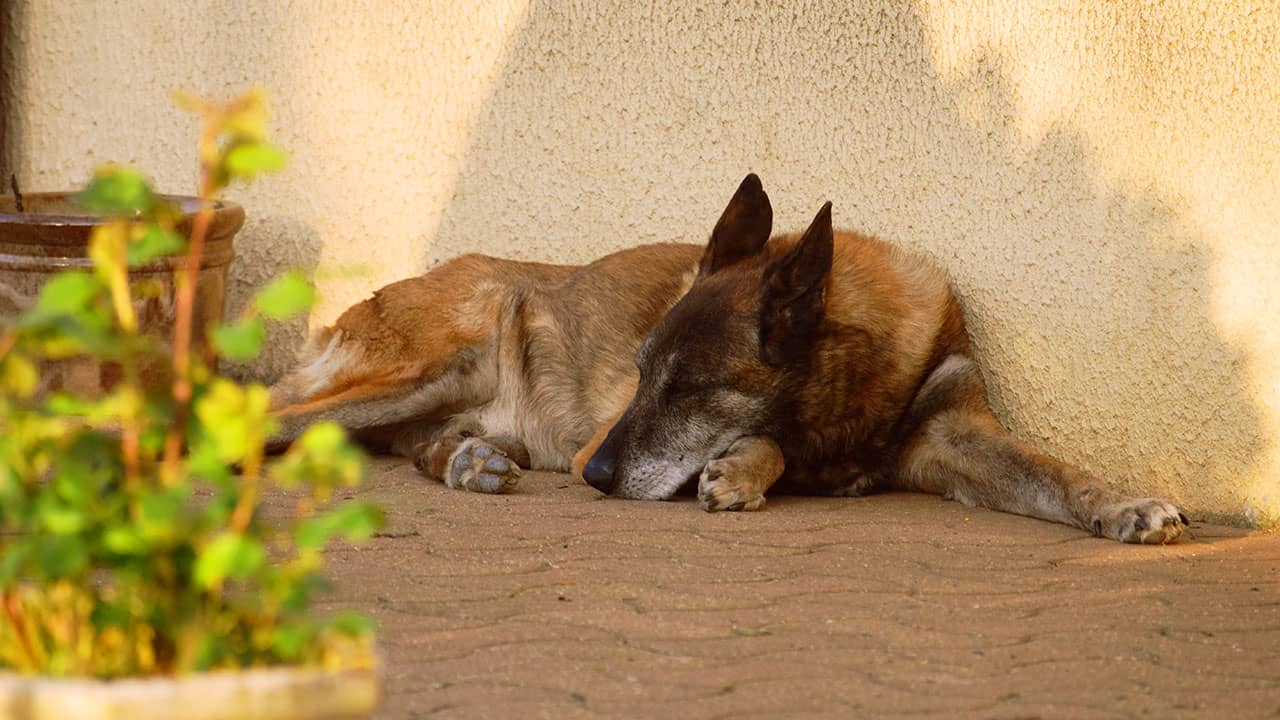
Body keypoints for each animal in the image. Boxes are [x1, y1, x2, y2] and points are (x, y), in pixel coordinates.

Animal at [270, 175, 1187, 543]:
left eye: (688, 388)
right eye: (644, 376)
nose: (589, 476)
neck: (856, 386)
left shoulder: (957, 435)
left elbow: (1057, 474)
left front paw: (1127, 506)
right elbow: (771, 442)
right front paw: (745, 469)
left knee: (410, 444)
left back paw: (468, 461)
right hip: (430, 363)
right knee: (276, 417)